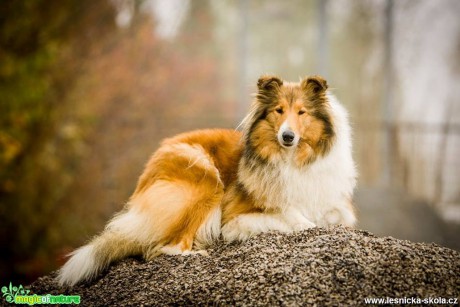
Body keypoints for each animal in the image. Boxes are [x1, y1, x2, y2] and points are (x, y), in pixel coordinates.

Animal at [57, 76, 358, 288]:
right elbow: (290, 215)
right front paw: (303, 223)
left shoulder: (338, 206)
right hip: (205, 181)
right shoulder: (236, 217)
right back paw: (196, 254)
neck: (295, 160)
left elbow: (334, 218)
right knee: (163, 248)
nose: (287, 136)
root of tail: (151, 163)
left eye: (302, 112)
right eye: (278, 110)